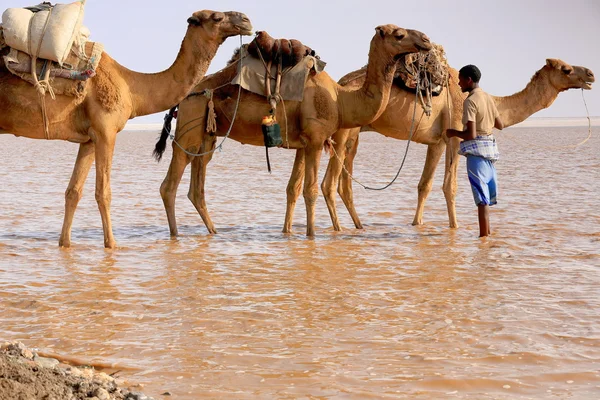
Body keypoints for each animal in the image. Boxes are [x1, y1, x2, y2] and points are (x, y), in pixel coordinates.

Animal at [0, 9, 253, 247]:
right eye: (217, 17)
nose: (247, 21)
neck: (131, 87)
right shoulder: (106, 131)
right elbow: (104, 192)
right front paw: (111, 245)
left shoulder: (89, 139)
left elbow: (73, 192)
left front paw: (65, 244)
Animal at [155, 24, 434, 238]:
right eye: (399, 34)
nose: (426, 40)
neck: (341, 100)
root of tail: (184, 96)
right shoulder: (316, 140)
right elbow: (310, 190)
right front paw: (311, 235)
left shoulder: (303, 143)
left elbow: (294, 189)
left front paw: (287, 232)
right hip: (191, 124)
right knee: (170, 184)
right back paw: (176, 235)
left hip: (207, 135)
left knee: (197, 186)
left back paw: (213, 232)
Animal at [314, 57, 596, 230]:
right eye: (566, 69)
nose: (591, 73)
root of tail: (339, 84)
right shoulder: (454, 136)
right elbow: (450, 186)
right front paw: (455, 227)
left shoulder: (436, 142)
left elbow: (424, 185)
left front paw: (417, 224)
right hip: (344, 132)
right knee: (329, 183)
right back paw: (339, 229)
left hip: (354, 135)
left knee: (345, 182)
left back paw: (359, 226)